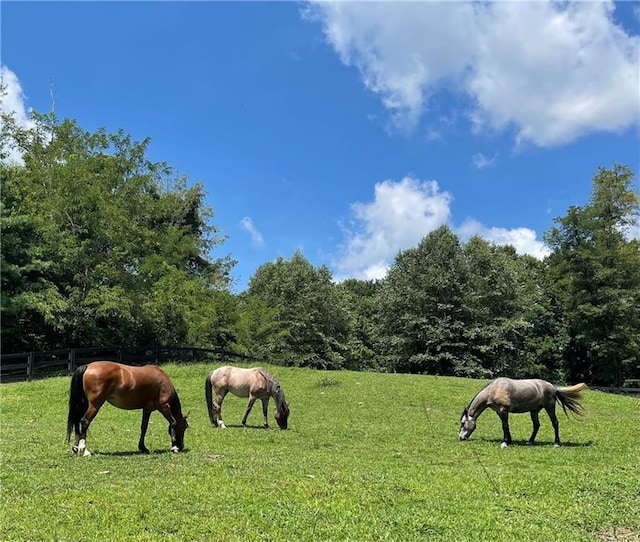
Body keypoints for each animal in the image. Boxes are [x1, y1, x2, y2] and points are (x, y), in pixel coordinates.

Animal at [458, 378, 588, 450]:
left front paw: (505, 442)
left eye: (463, 423)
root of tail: (552, 387)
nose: (461, 437)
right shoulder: (499, 412)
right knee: (536, 425)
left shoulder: (503, 411)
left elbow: (505, 426)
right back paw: (530, 441)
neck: (494, 390)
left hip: (550, 407)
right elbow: (505, 426)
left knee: (555, 423)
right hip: (534, 411)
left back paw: (556, 443)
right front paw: (509, 440)